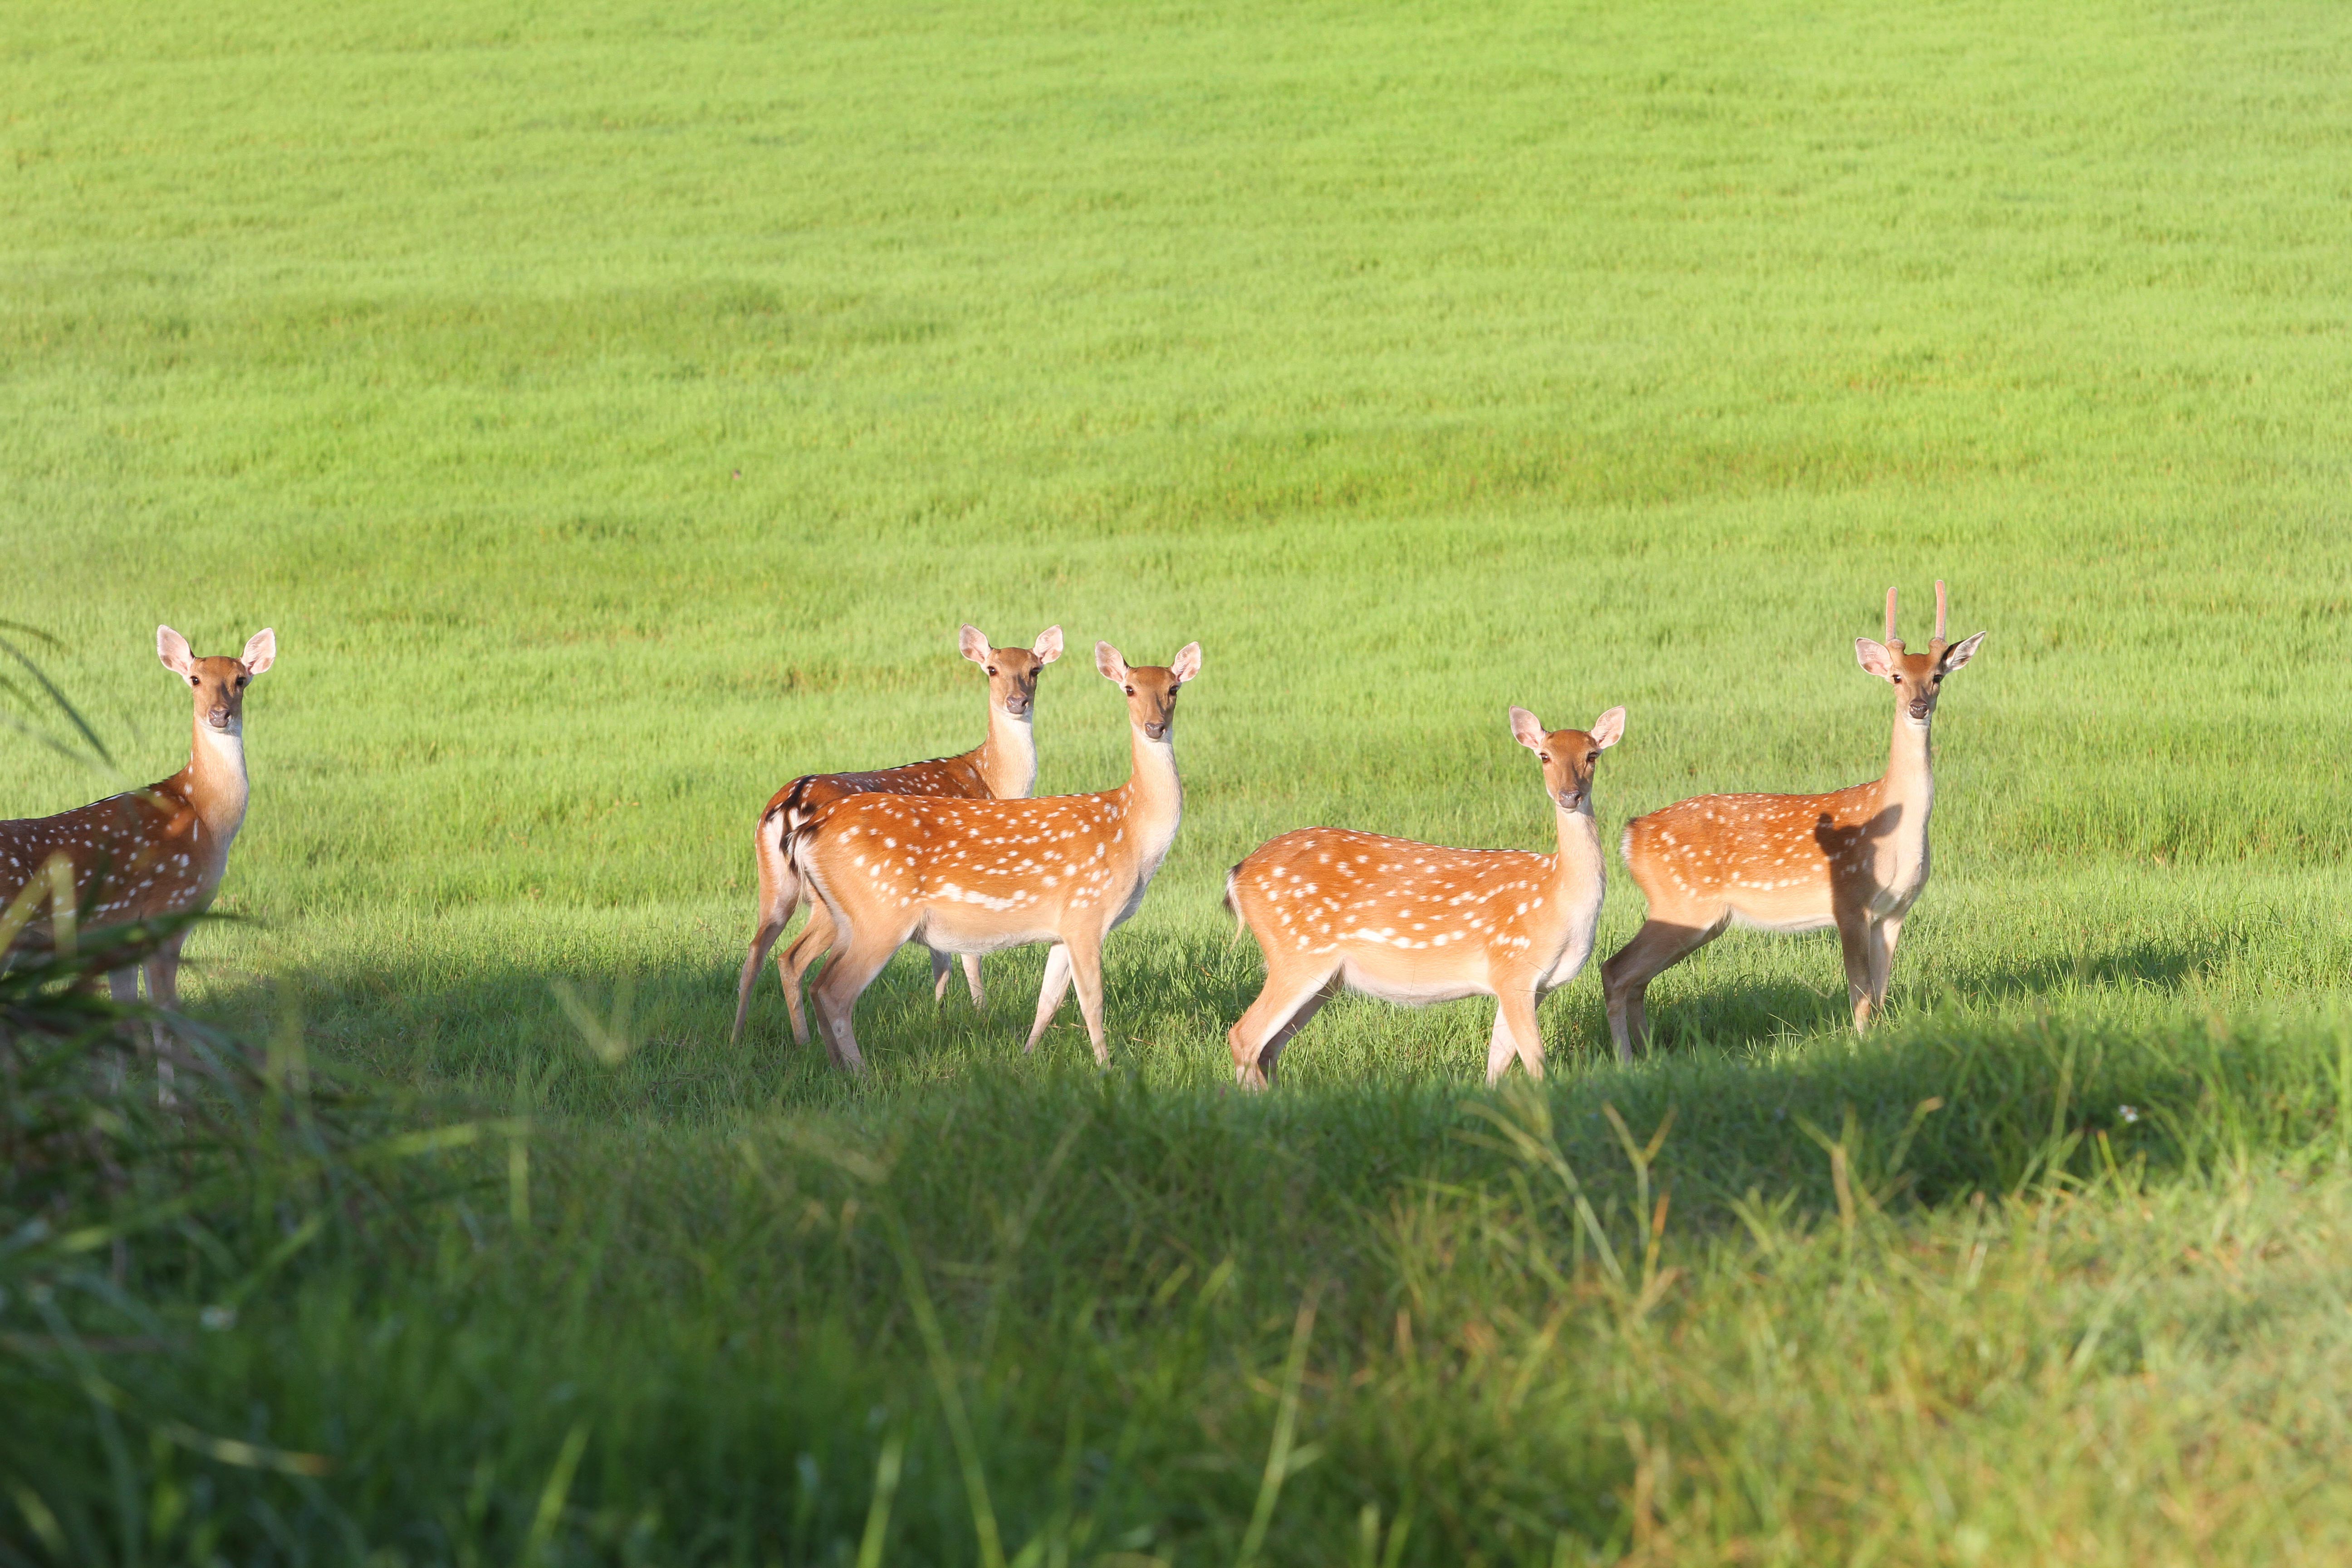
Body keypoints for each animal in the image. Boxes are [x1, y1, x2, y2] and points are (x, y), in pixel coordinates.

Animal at [0, 625, 279, 1044]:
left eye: (240, 680)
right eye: (195, 679)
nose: (219, 714)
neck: (205, 818)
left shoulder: (120, 937)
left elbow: (126, 1022)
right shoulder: (167, 913)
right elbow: (167, 1019)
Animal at [734, 620, 1068, 1048]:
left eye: (1034, 669)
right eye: (992, 669)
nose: (1017, 701)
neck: (991, 780)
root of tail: (790, 803)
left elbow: (942, 957)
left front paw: (939, 1014)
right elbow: (968, 954)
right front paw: (979, 1013)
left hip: (774, 884)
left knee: (757, 952)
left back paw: (739, 1039)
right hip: (838, 901)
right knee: (792, 958)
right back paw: (804, 1042)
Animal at [795, 639, 1204, 1067]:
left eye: (1174, 689)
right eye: (1129, 689)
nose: (1155, 727)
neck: (1131, 835)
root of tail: (808, 832)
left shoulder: (1063, 926)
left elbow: (1048, 1001)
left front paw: (1025, 1056)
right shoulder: (1087, 911)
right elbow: (1092, 1002)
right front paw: (1106, 1067)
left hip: (843, 915)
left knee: (816, 983)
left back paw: (835, 1066)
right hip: (881, 912)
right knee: (835, 992)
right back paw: (861, 1072)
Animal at [1223, 710, 1627, 1091]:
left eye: (1592, 755)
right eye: (1544, 756)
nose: (1570, 796)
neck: (1557, 899)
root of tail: (1237, 875)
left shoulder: (1534, 985)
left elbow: (1497, 1062)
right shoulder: (1513, 967)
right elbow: (1536, 1063)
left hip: (1325, 979)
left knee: (1269, 1048)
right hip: (1297, 953)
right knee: (1244, 1035)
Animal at [1599, 580, 1985, 1053]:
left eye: (1937, 676)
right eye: (1896, 676)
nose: (1918, 706)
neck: (1896, 829)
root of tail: (1631, 835)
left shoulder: (1895, 911)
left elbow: (1880, 993)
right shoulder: (1850, 902)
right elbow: (1860, 993)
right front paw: (1860, 1048)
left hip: (1698, 916)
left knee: (1635, 979)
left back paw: (1649, 1053)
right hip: (1682, 901)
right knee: (1615, 970)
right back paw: (1626, 1057)